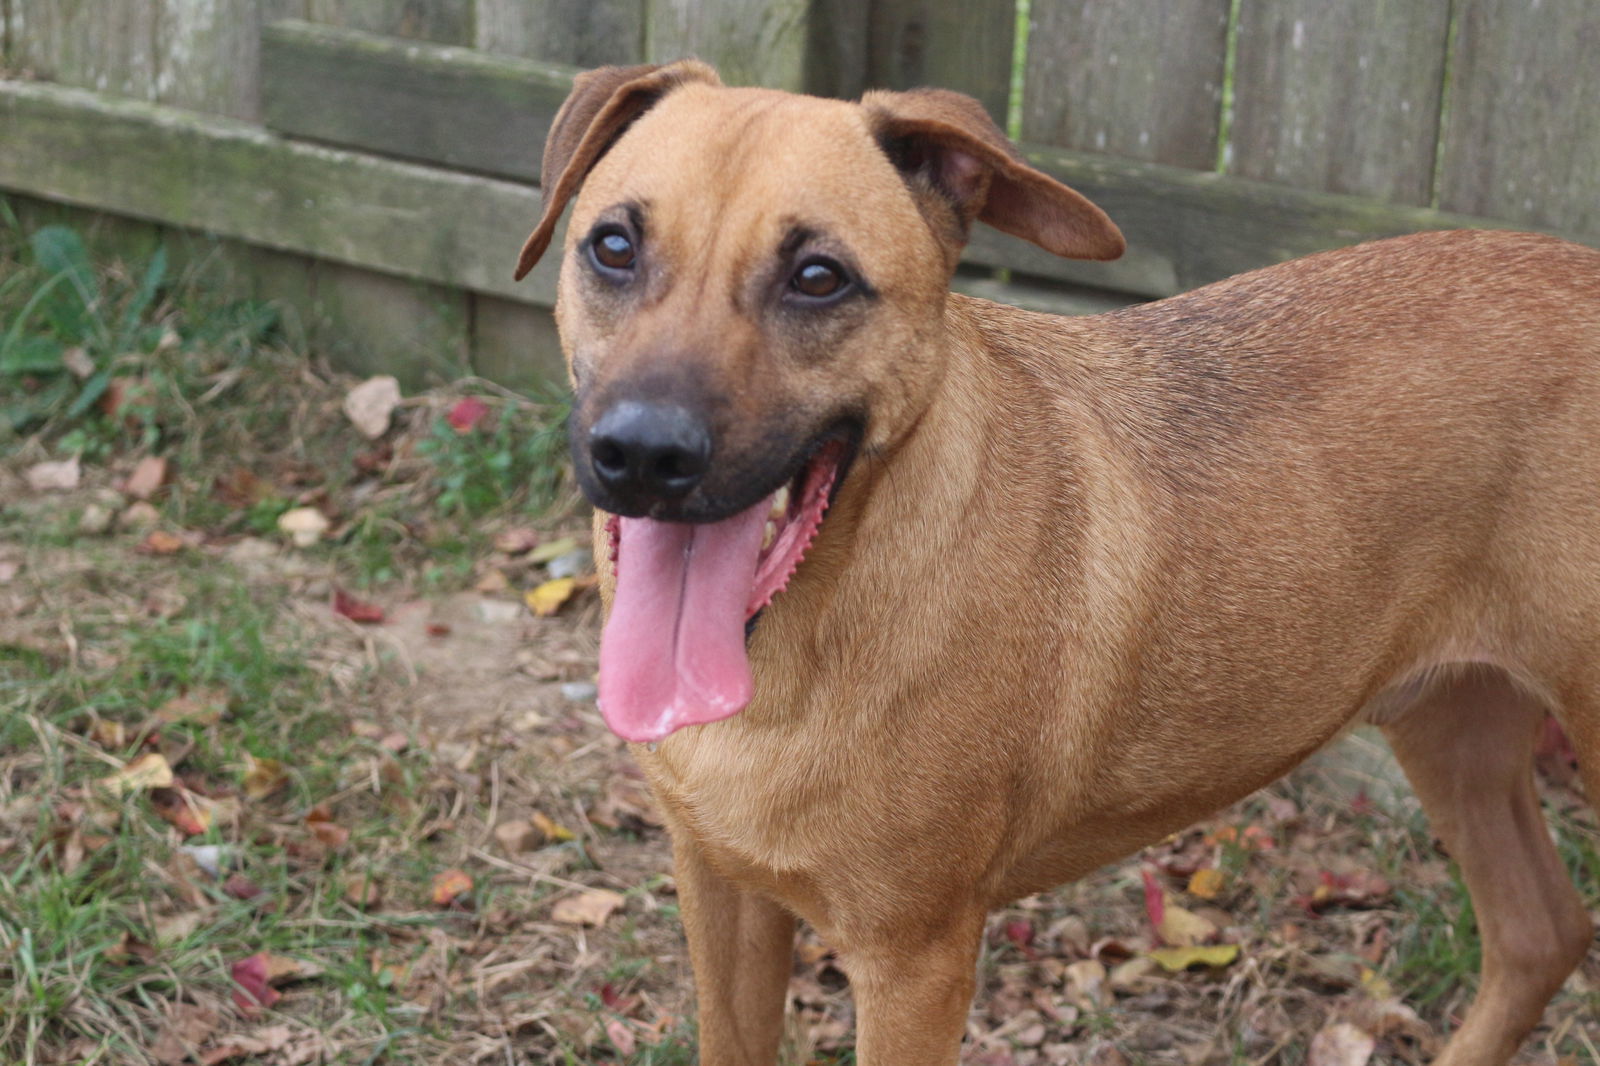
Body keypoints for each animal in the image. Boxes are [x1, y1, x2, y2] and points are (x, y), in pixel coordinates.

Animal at [512, 60, 1600, 1062]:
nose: (643, 454)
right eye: (613, 246)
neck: (791, 649)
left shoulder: (914, 959)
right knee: (1538, 931)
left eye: (818, 277)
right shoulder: (720, 886)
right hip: (1453, 723)